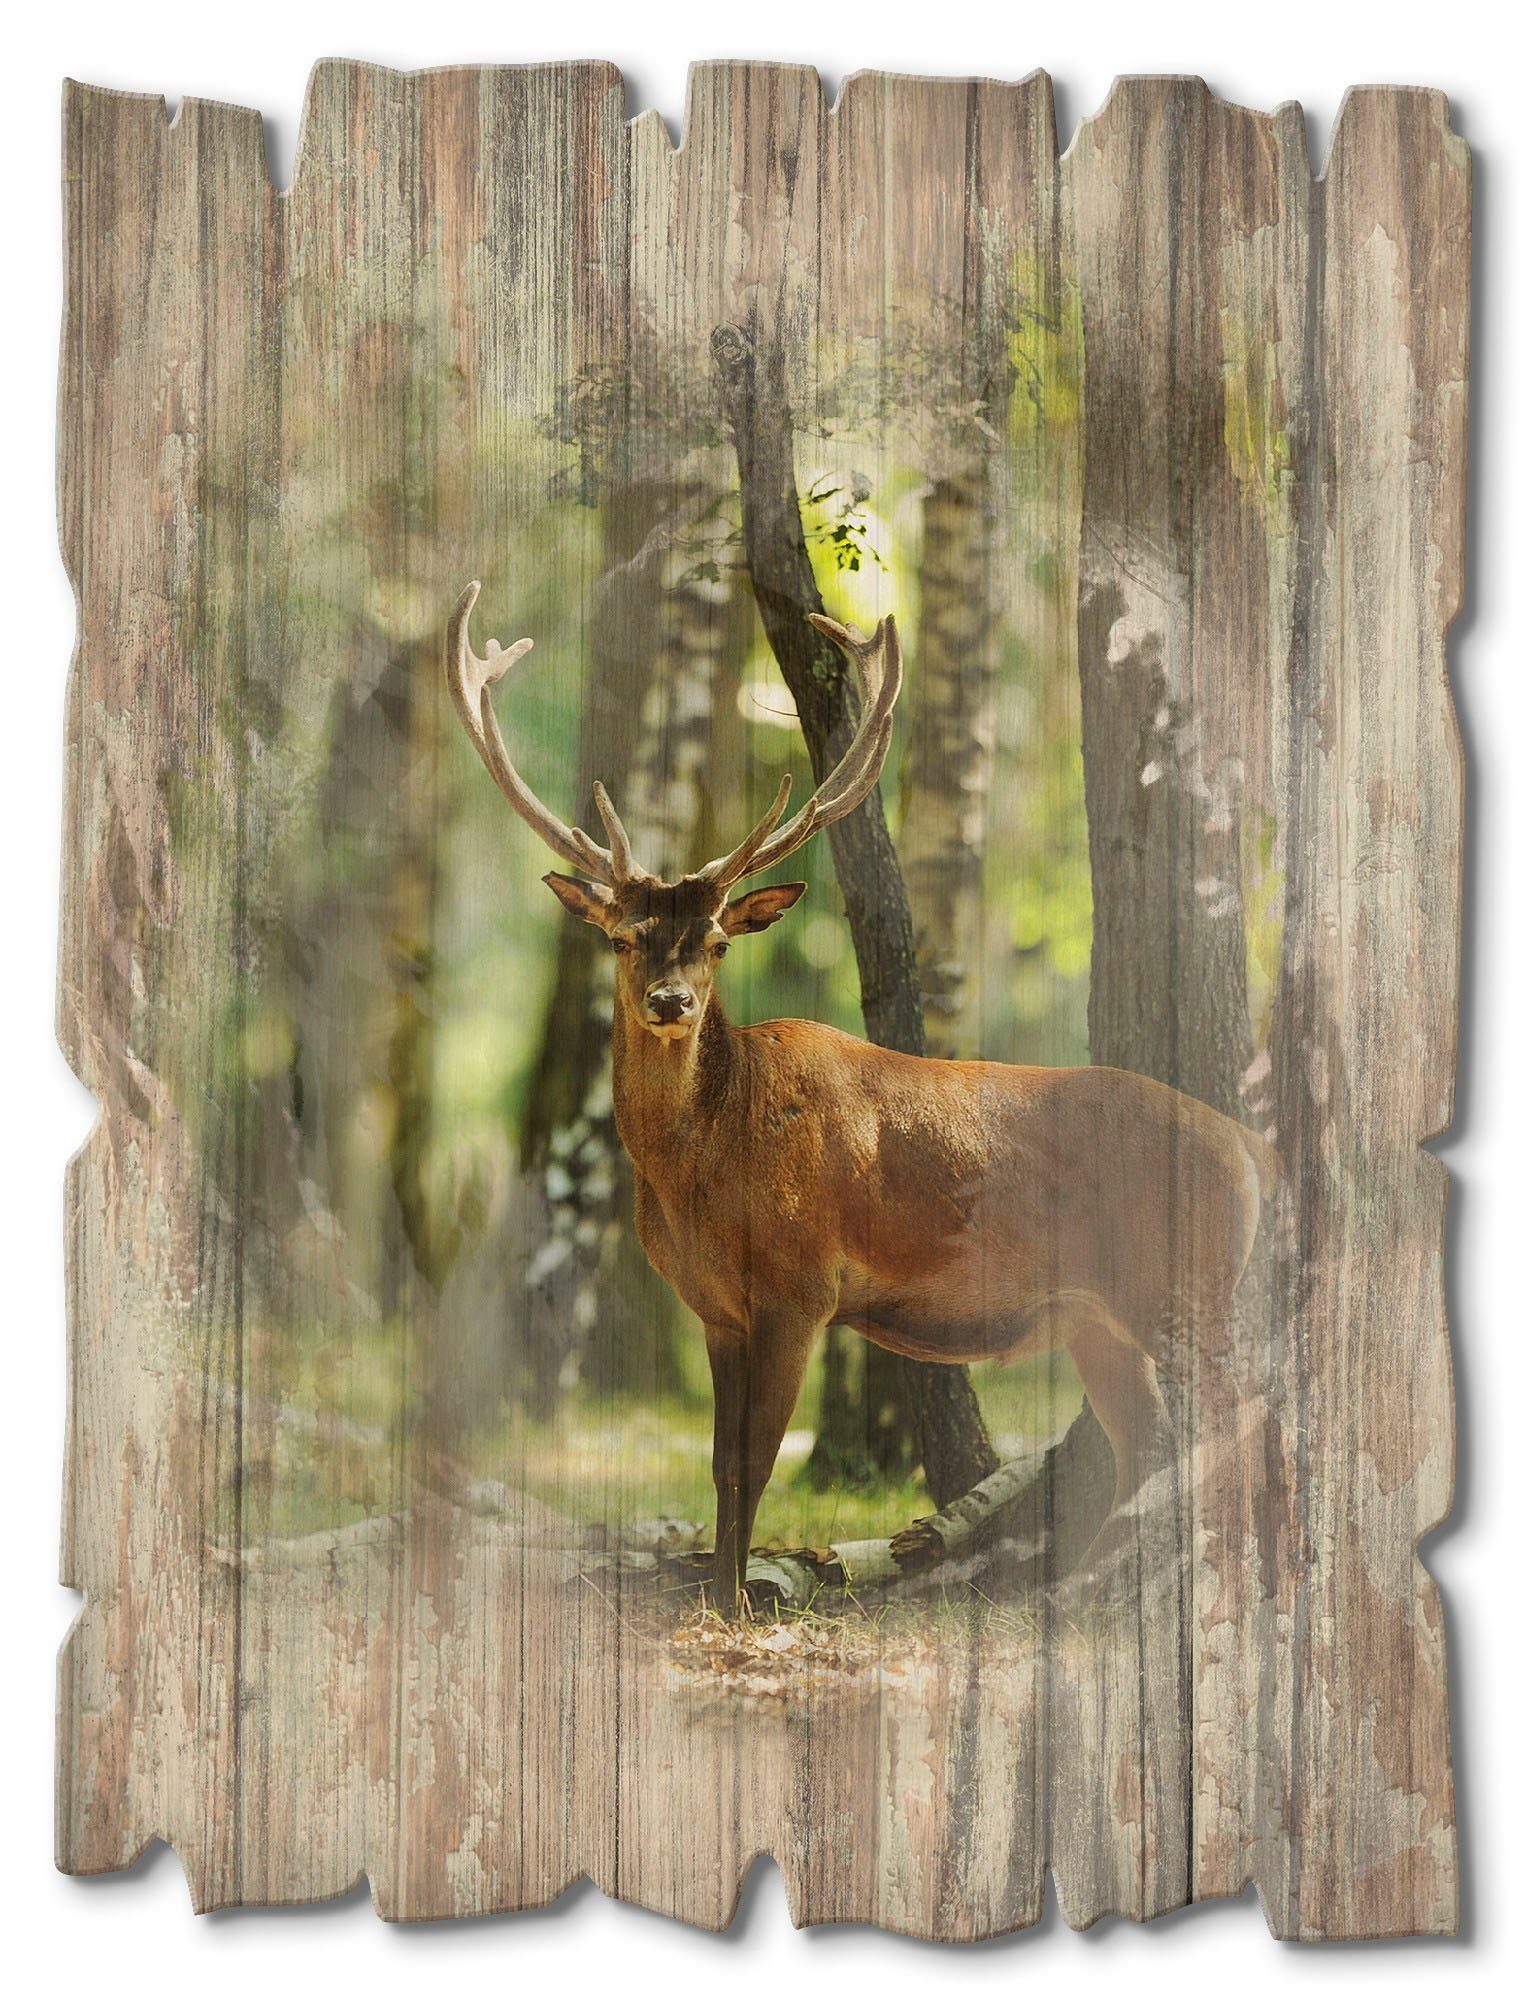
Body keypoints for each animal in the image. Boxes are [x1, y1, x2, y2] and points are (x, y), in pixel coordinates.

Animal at [447, 581, 1277, 1613]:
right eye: (622, 936)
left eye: (716, 942)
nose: (671, 1002)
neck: (702, 1171)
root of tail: (1248, 1147)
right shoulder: (717, 1310)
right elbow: (719, 1470)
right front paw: (722, 1592)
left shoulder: (801, 1285)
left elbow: (755, 1463)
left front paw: (737, 1609)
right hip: (1101, 1316)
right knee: (1146, 1442)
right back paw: (1086, 1598)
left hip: (1186, 1279)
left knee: (1239, 1421)